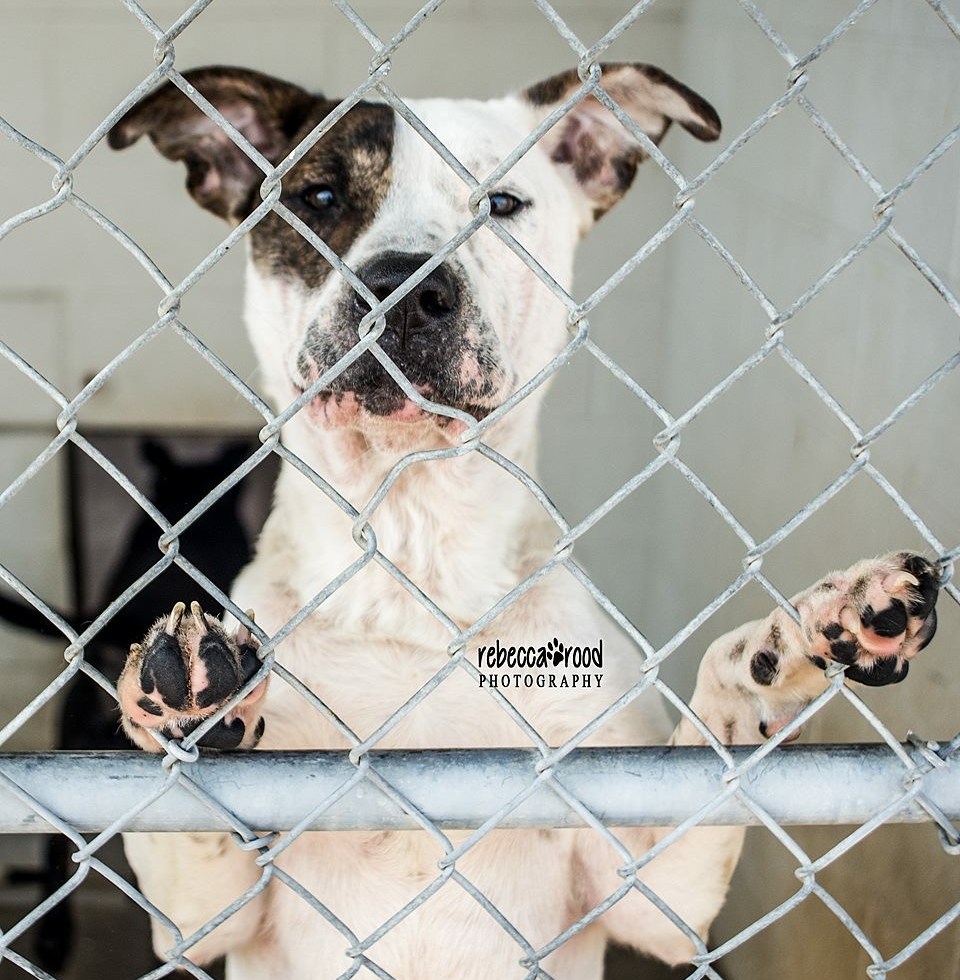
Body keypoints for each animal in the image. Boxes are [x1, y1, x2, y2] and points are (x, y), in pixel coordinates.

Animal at [106, 64, 940, 979]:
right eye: (320, 196)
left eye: (503, 204)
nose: (403, 289)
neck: (414, 566)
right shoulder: (193, 922)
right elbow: (190, 830)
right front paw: (189, 702)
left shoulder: (657, 898)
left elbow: (709, 755)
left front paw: (785, 655)